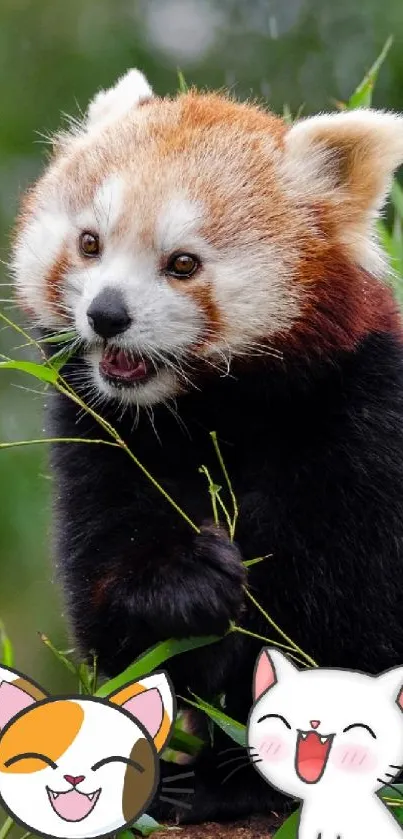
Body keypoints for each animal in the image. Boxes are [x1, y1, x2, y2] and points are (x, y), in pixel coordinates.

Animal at [9, 67, 403, 828]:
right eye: (90, 243)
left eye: (183, 263)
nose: (106, 313)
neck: (205, 415)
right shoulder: (98, 434)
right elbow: (113, 610)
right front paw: (186, 582)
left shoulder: (363, 425)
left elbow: (338, 617)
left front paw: (246, 778)